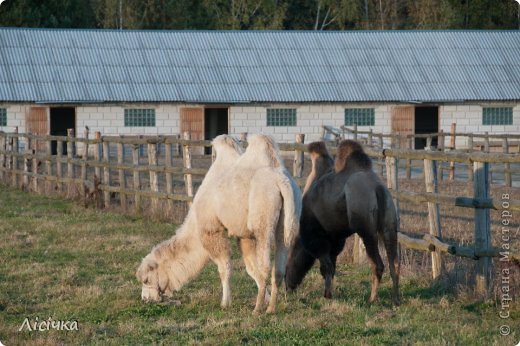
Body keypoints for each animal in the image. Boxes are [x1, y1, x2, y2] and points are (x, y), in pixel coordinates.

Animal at [286, 139, 400, 304]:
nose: (287, 286)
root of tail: (378, 189)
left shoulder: (316, 236)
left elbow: (326, 267)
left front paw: (327, 295)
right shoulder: (336, 239)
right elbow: (331, 266)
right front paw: (328, 293)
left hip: (366, 229)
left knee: (378, 264)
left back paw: (371, 299)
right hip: (389, 225)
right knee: (394, 263)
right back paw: (396, 300)